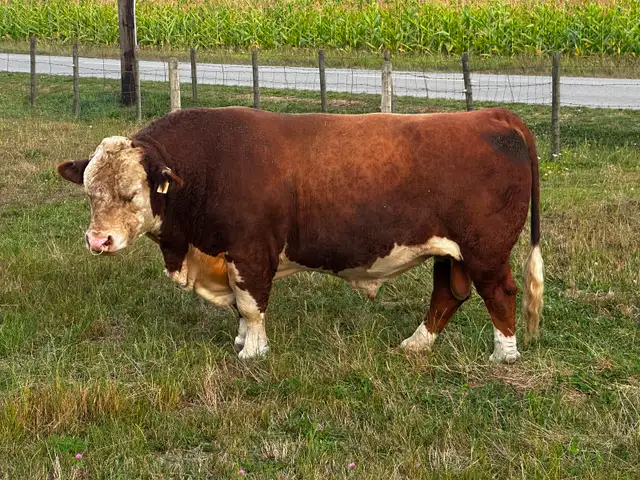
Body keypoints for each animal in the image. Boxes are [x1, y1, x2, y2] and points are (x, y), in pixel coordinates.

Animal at [56, 106, 544, 363]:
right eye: (90, 192)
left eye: (130, 193)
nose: (98, 241)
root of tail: (490, 115)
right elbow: (239, 306)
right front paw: (241, 340)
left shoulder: (251, 253)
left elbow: (250, 305)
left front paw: (251, 352)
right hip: (451, 251)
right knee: (448, 294)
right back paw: (416, 344)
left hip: (485, 250)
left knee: (500, 292)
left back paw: (505, 356)